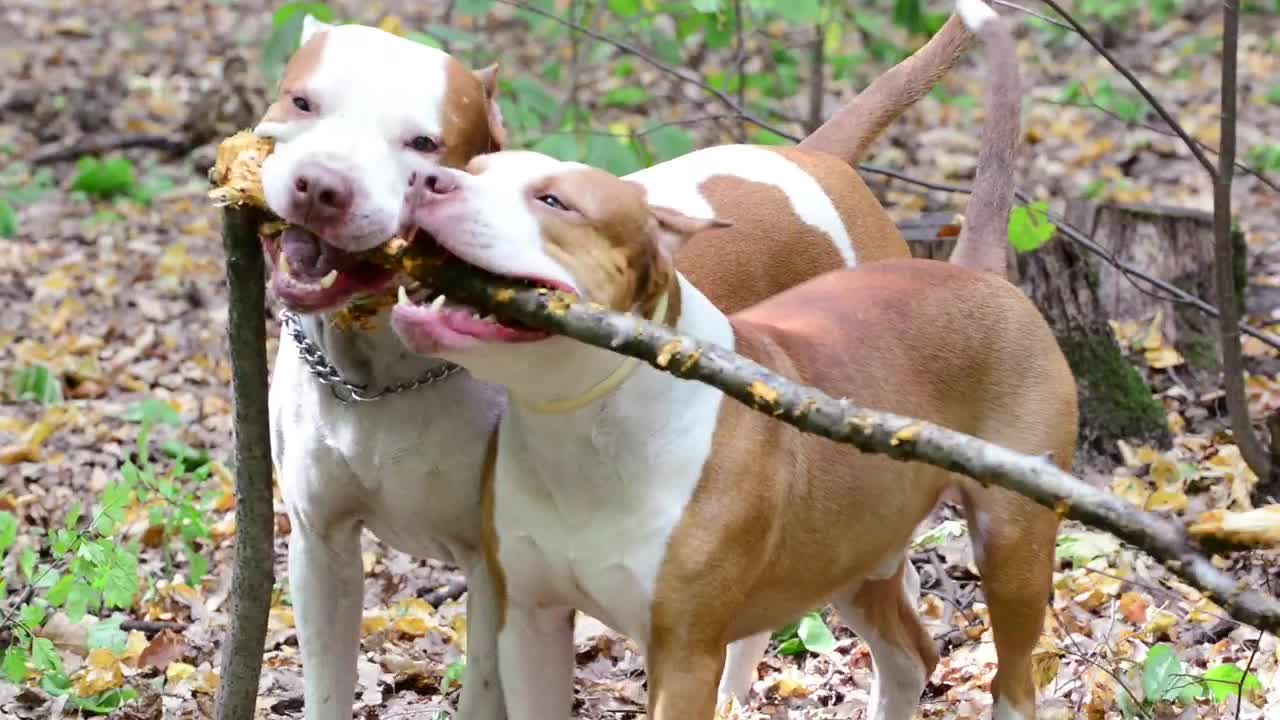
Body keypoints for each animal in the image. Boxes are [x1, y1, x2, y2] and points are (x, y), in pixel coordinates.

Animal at [252, 7, 977, 717]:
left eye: (423, 143)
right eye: (302, 102)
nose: (322, 187)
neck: (384, 370)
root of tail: (814, 157)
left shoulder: (493, 577)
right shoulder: (322, 550)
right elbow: (325, 688)